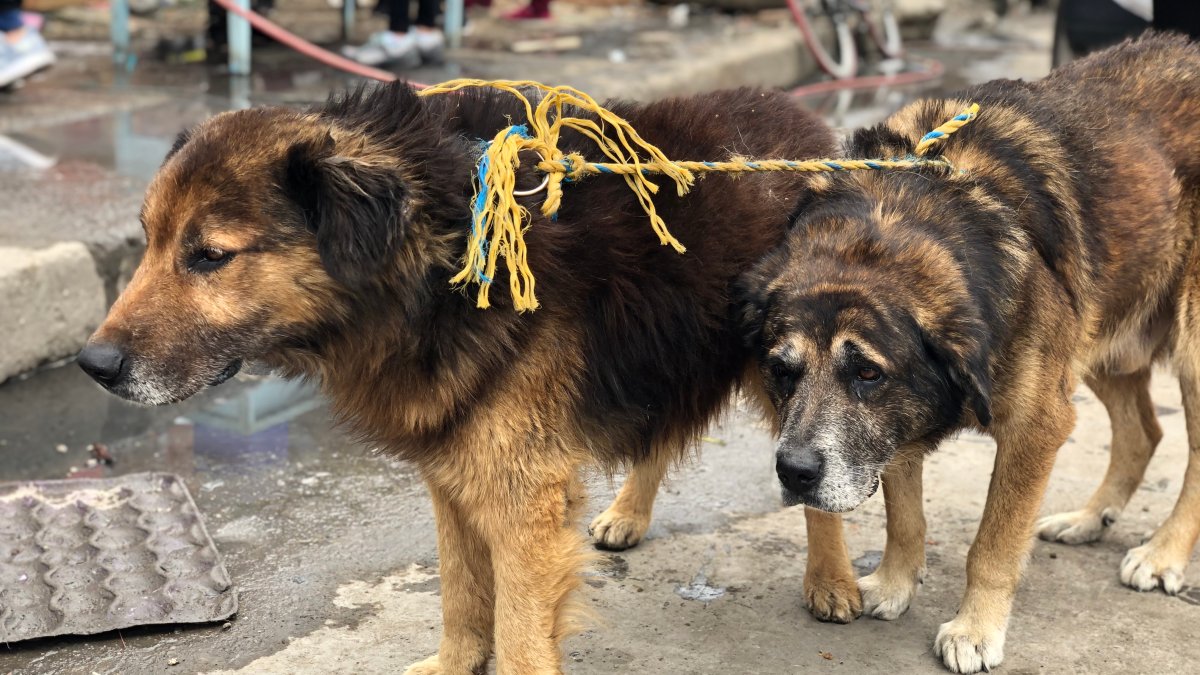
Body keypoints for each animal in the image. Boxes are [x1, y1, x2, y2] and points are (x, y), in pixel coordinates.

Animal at [77, 85, 835, 672]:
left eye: (209, 255)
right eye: (148, 241)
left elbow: (520, 634)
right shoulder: (454, 469)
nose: (94, 366)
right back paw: (628, 513)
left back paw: (834, 580)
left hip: (793, 376)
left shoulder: (523, 499)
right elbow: (462, 595)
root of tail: (805, 123)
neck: (437, 265)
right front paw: (456, 661)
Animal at [734, 35, 1195, 672]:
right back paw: (1088, 519)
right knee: (1144, 431)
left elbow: (993, 545)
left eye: (867, 373)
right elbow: (905, 518)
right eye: (782, 371)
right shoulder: (897, 431)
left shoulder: (1035, 425)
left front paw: (976, 629)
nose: (794, 473)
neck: (891, 223)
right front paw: (895, 584)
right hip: (1100, 331)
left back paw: (1164, 553)